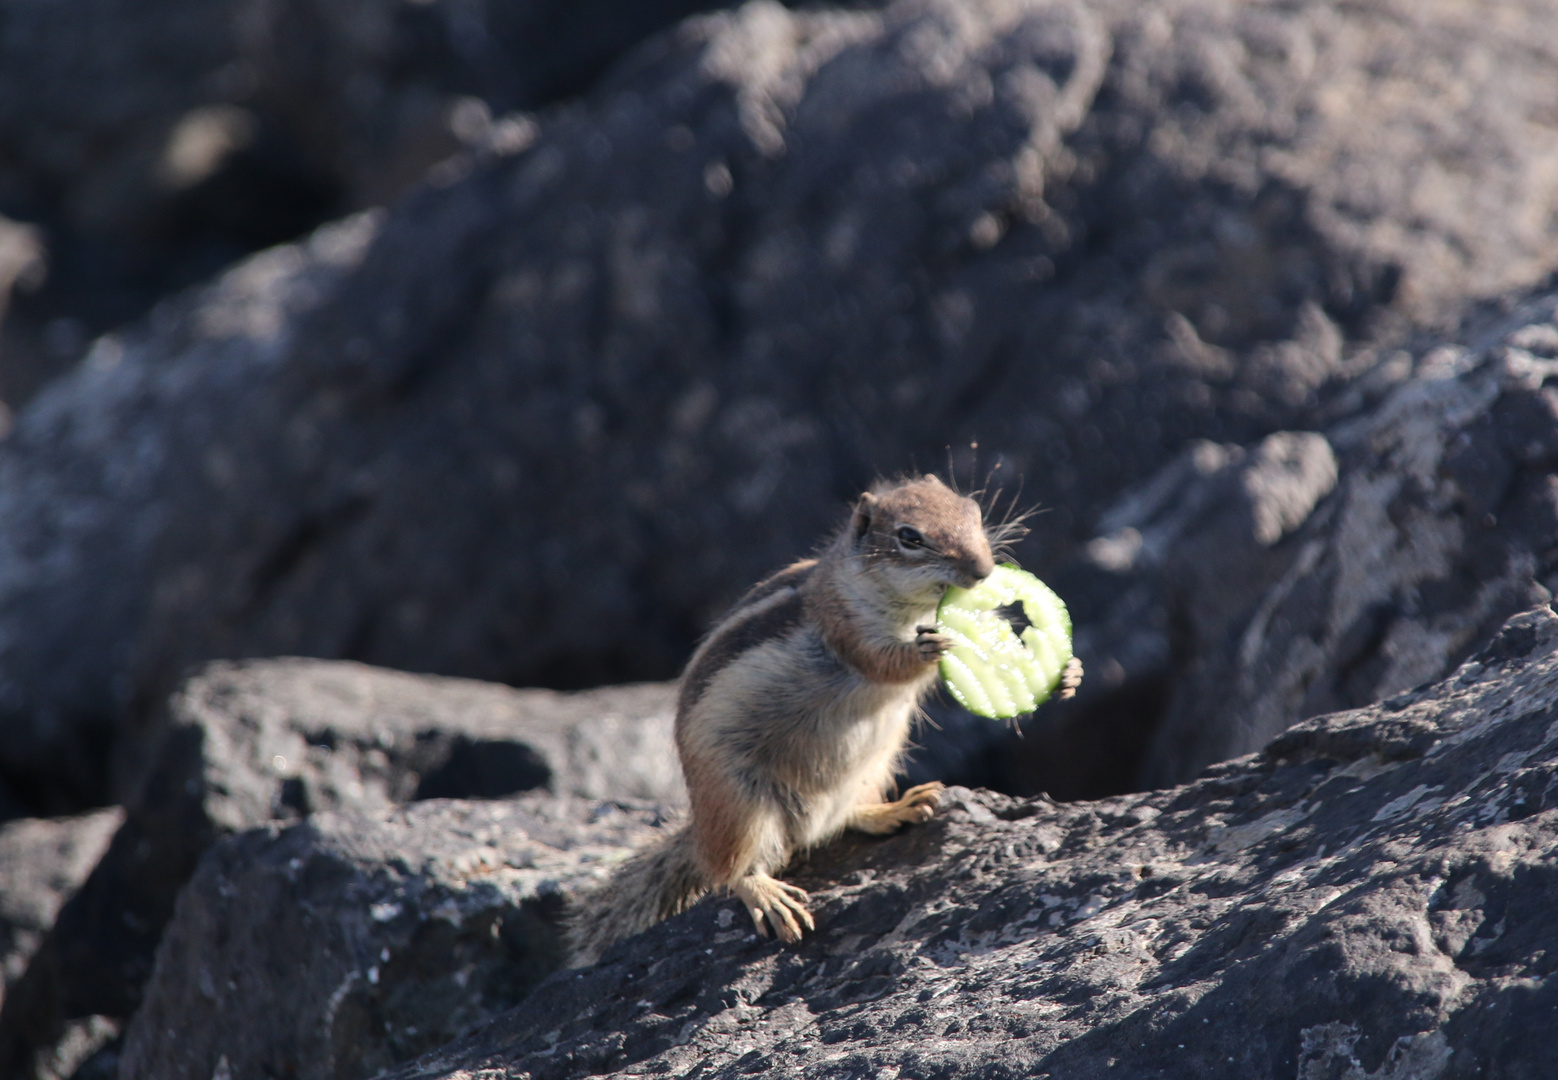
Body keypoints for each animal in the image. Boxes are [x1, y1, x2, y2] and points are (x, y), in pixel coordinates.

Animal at [567, 476, 1078, 966]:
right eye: (909, 538)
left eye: (972, 511)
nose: (983, 570)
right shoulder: (844, 625)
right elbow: (886, 664)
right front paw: (931, 648)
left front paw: (1066, 675)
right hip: (738, 802)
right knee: (729, 871)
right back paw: (765, 893)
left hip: (874, 766)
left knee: (844, 817)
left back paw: (894, 809)